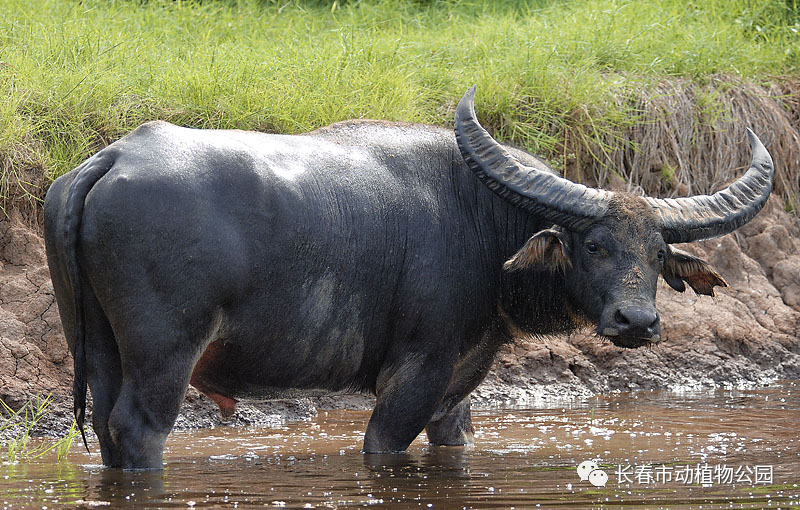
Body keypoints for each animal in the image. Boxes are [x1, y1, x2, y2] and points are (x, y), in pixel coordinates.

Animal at [42, 85, 768, 468]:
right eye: (593, 245)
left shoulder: (459, 385)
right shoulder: (414, 375)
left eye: (657, 251)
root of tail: (110, 159)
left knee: (106, 426)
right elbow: (384, 446)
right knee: (140, 430)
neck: (481, 221)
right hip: (164, 354)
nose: (636, 322)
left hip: (97, 348)